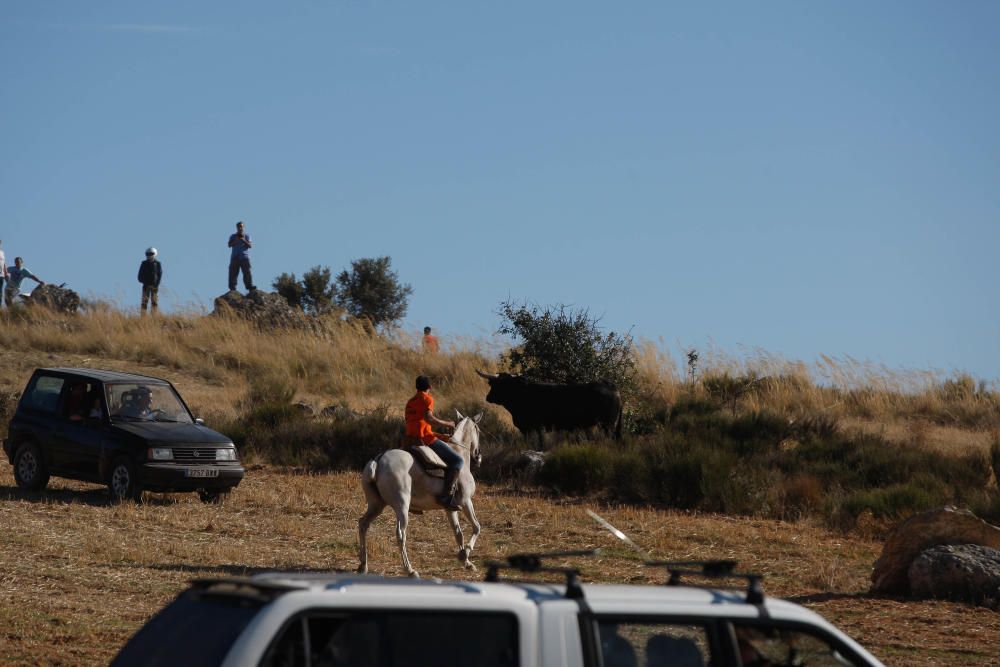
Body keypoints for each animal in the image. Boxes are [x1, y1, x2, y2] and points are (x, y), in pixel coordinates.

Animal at [360, 410, 484, 576]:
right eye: (478, 430)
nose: (478, 457)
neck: (459, 452)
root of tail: (378, 460)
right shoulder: (465, 502)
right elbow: (476, 526)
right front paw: (466, 553)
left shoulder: (450, 508)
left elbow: (458, 533)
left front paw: (466, 562)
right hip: (402, 507)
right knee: (400, 534)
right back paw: (410, 570)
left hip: (376, 505)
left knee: (363, 524)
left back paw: (363, 565)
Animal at [474, 370, 620, 444]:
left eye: (501, 384)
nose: (488, 397)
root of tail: (610, 386)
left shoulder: (536, 427)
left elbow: (540, 444)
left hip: (608, 425)